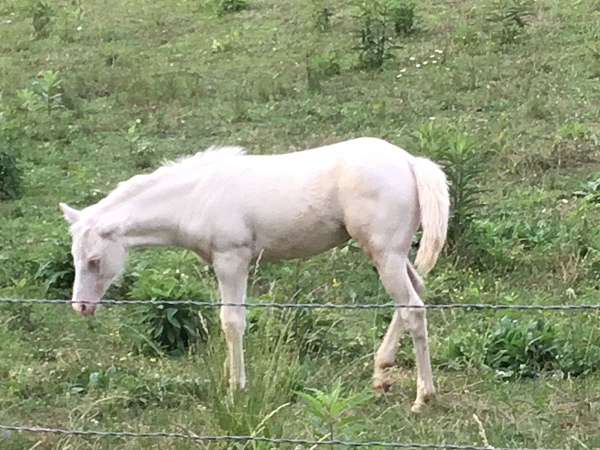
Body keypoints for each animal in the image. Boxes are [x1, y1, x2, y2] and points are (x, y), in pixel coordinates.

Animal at [61, 138, 448, 414]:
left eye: (94, 260)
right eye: (75, 257)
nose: (81, 307)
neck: (196, 197)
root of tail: (411, 162)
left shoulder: (232, 259)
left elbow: (232, 321)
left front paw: (237, 388)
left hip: (385, 253)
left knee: (413, 309)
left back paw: (422, 397)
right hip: (389, 254)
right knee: (414, 294)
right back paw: (381, 376)